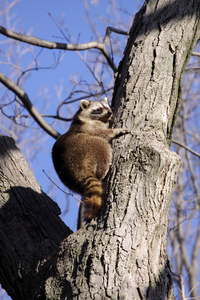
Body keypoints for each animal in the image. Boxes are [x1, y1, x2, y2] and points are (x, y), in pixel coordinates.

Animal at [52, 97, 128, 229]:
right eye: (98, 109)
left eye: (107, 107)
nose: (110, 112)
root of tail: (77, 169)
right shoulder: (90, 127)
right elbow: (104, 133)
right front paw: (115, 130)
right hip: (88, 147)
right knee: (102, 145)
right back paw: (105, 170)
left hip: (69, 181)